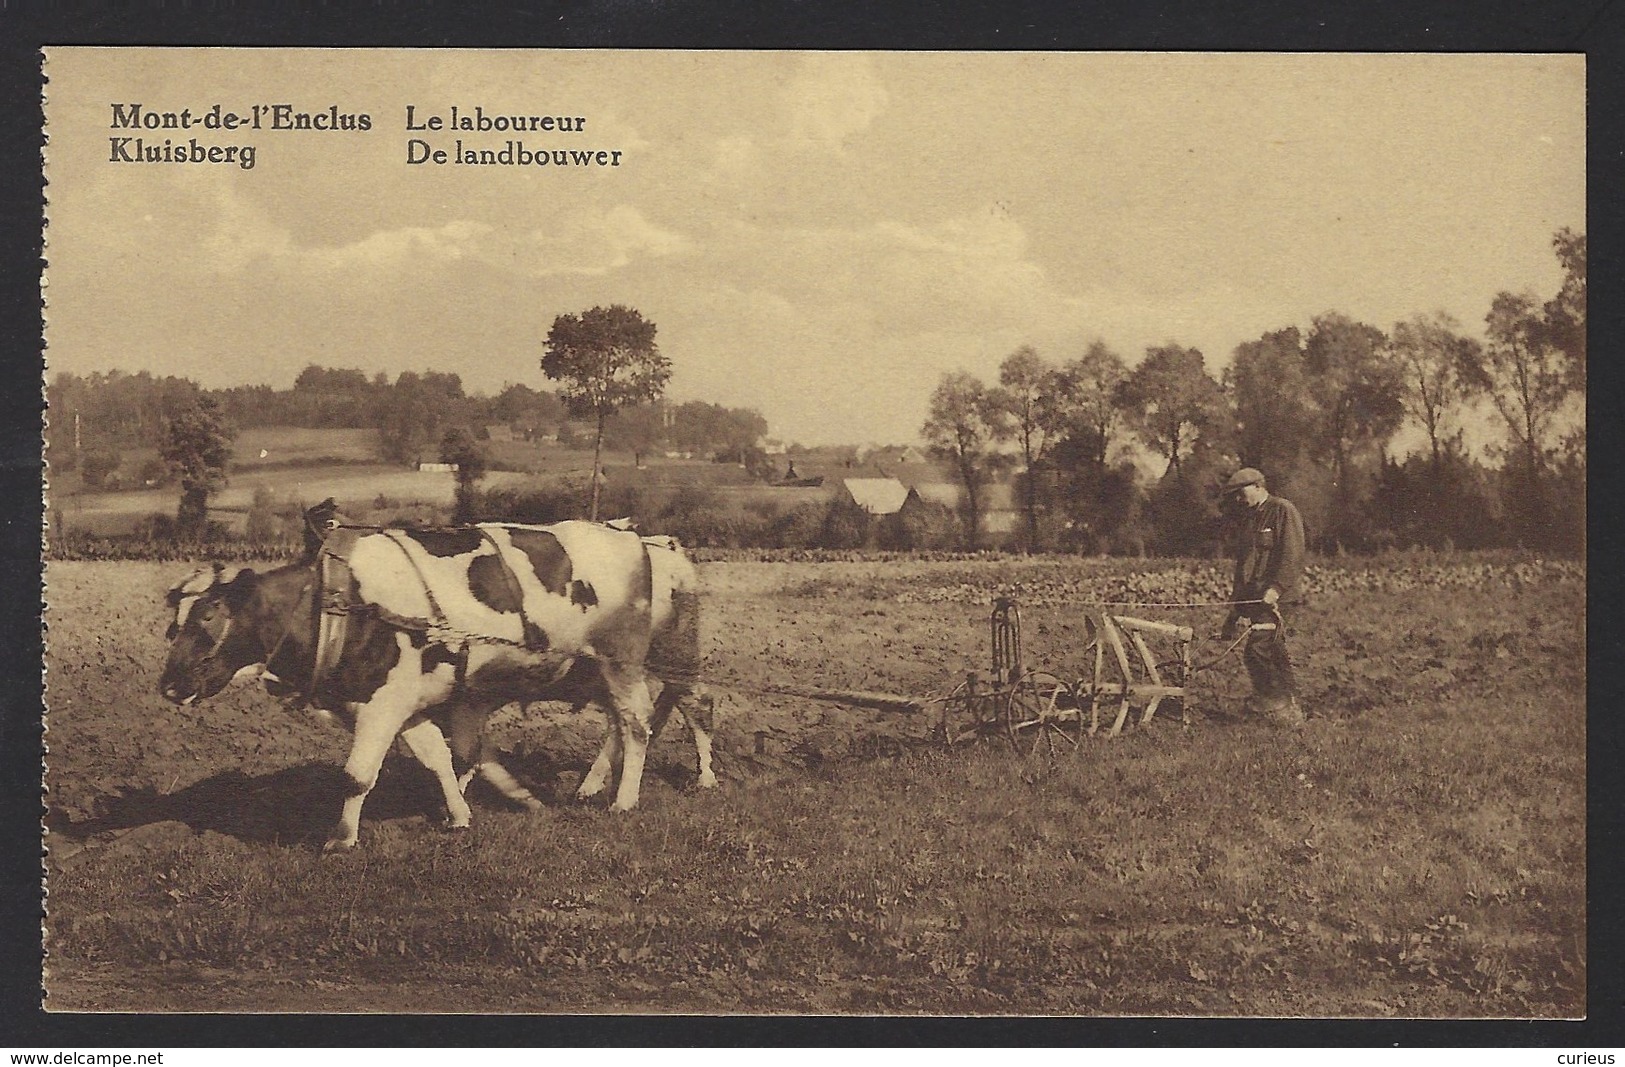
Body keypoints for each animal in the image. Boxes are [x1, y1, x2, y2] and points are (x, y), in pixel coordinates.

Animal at [163, 519, 711, 851]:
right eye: (173, 623)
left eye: (209, 619)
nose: (169, 685)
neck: (336, 605)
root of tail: (635, 536)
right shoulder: (409, 703)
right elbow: (440, 758)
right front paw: (462, 814)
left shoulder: (383, 704)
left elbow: (357, 775)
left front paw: (340, 839)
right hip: (607, 669)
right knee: (632, 721)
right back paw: (595, 784)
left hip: (637, 657)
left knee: (651, 720)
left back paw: (637, 796)